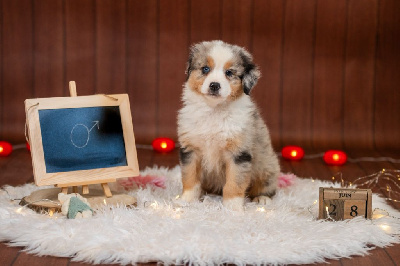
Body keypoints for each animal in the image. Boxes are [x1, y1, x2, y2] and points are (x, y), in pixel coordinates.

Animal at [177, 40, 280, 211]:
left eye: (229, 72)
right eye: (205, 69)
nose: (214, 85)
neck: (214, 110)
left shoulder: (238, 153)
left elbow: (234, 182)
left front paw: (232, 208)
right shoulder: (191, 149)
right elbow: (190, 177)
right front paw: (187, 200)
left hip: (267, 165)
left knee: (267, 185)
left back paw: (263, 199)